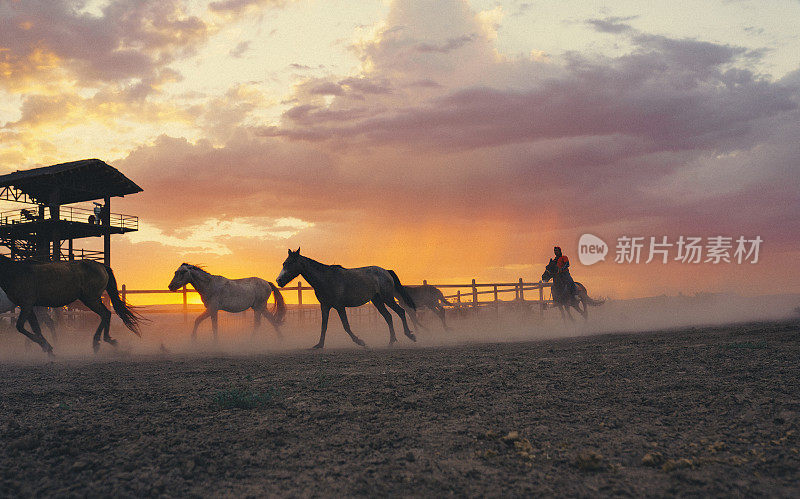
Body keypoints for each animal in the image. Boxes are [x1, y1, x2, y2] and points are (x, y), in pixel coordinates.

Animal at [0, 258, 142, 356]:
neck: (15, 273)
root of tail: (101, 266)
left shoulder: (27, 305)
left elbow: (21, 327)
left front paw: (47, 347)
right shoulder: (28, 307)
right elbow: (36, 329)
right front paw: (48, 348)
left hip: (90, 299)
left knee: (105, 314)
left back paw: (99, 342)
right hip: (90, 300)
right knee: (106, 314)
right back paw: (105, 341)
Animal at [276, 249, 418, 350]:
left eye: (289, 263)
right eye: (284, 263)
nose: (279, 281)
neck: (326, 279)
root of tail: (386, 271)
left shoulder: (339, 306)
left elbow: (346, 325)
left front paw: (360, 342)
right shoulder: (325, 306)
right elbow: (324, 325)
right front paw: (319, 345)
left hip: (387, 298)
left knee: (401, 312)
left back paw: (410, 336)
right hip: (377, 300)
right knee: (388, 316)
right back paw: (391, 341)